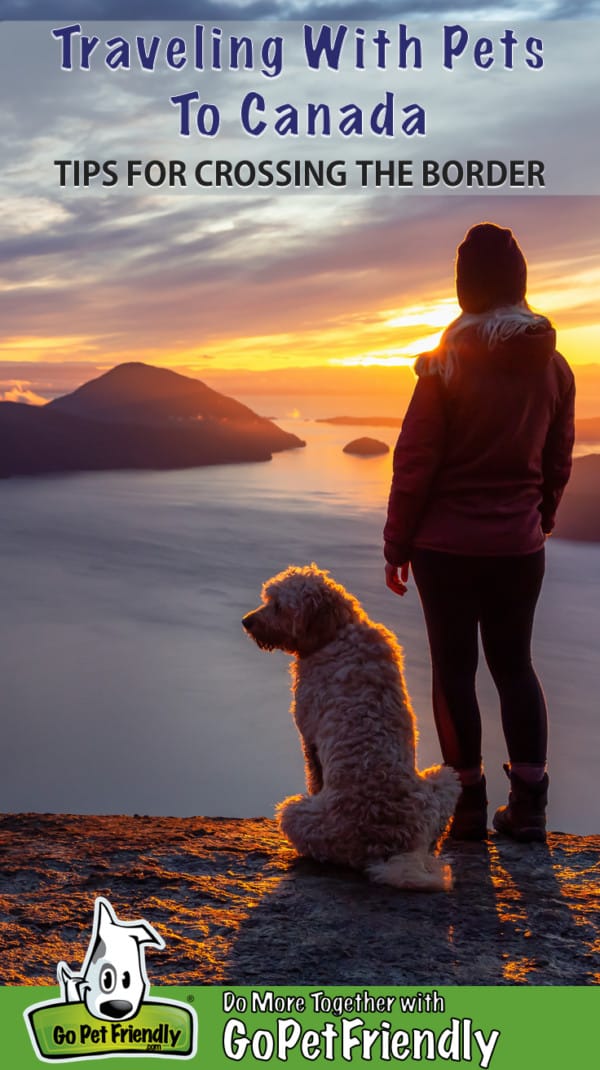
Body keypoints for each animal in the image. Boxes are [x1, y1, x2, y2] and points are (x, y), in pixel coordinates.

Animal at [241, 564, 457, 890]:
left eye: (278, 605)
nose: (247, 622)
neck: (337, 632)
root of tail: (389, 848)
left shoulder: (309, 736)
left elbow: (314, 777)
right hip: (444, 779)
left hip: (293, 812)